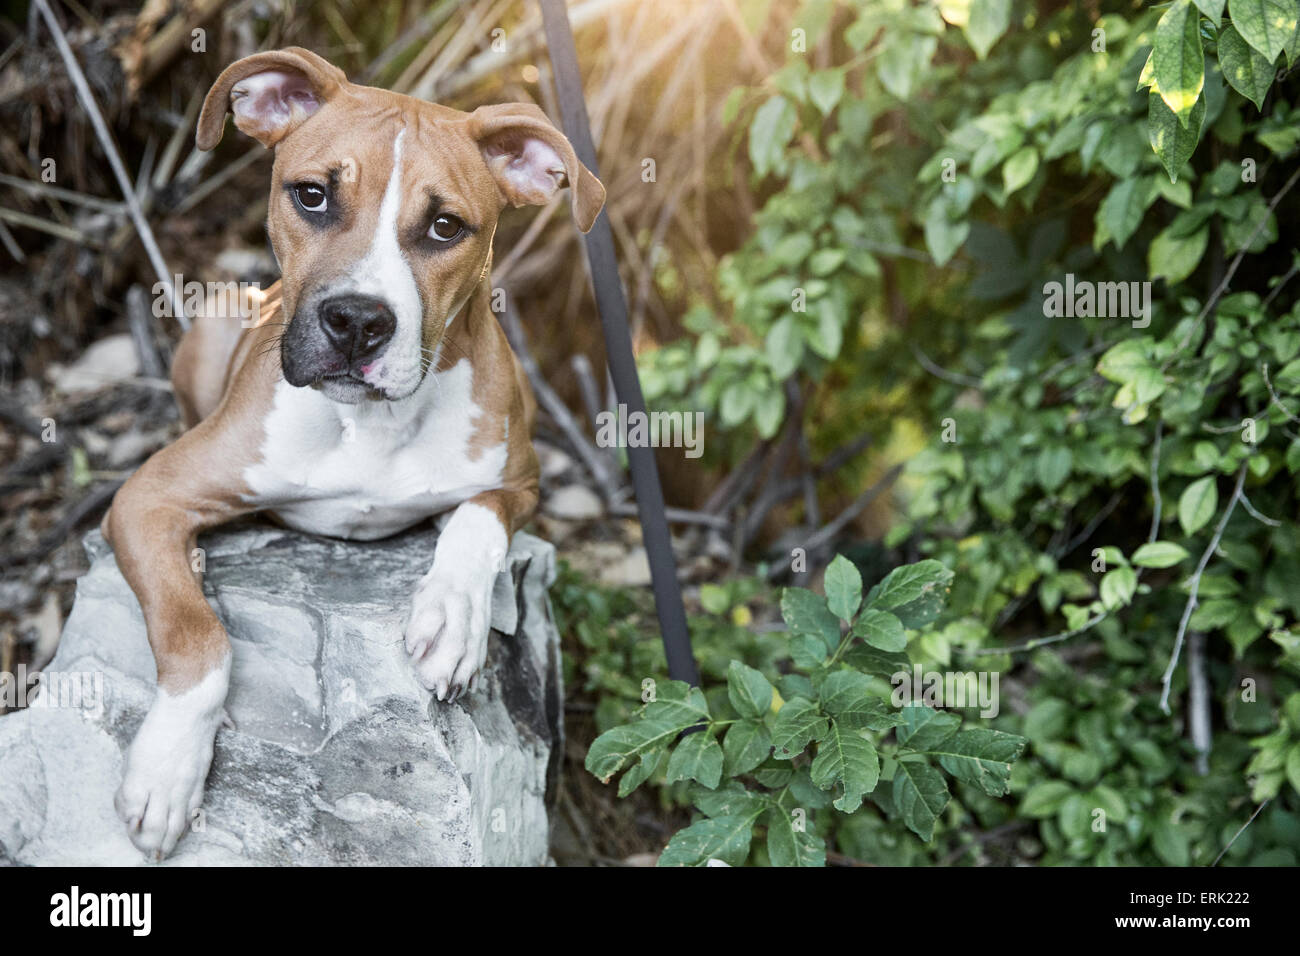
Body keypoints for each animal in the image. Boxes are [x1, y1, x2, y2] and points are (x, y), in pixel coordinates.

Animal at [98, 48, 605, 858]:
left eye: (445, 227)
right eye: (312, 197)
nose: (358, 322)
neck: (373, 424)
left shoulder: (519, 480)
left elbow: (477, 523)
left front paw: (451, 619)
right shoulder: (146, 493)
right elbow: (196, 634)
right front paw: (166, 769)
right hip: (217, 317)